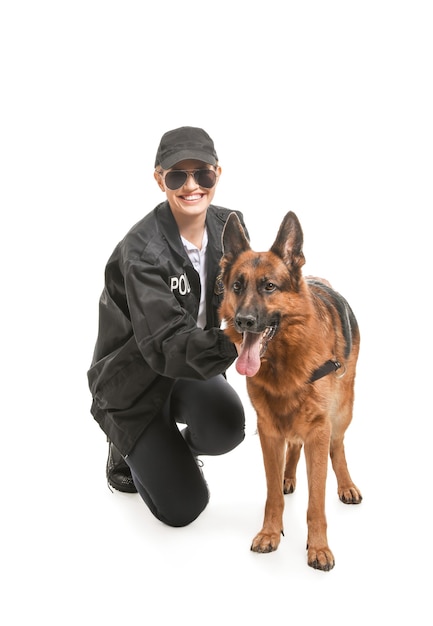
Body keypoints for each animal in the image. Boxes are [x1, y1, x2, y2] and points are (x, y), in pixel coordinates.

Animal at [219, 211, 362, 572]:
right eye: (237, 286)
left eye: (269, 286)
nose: (243, 321)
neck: (284, 362)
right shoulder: (268, 430)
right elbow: (271, 494)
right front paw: (270, 532)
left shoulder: (319, 429)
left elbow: (316, 501)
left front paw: (319, 548)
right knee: (294, 447)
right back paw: (288, 476)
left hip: (343, 411)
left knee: (338, 446)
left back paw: (346, 485)